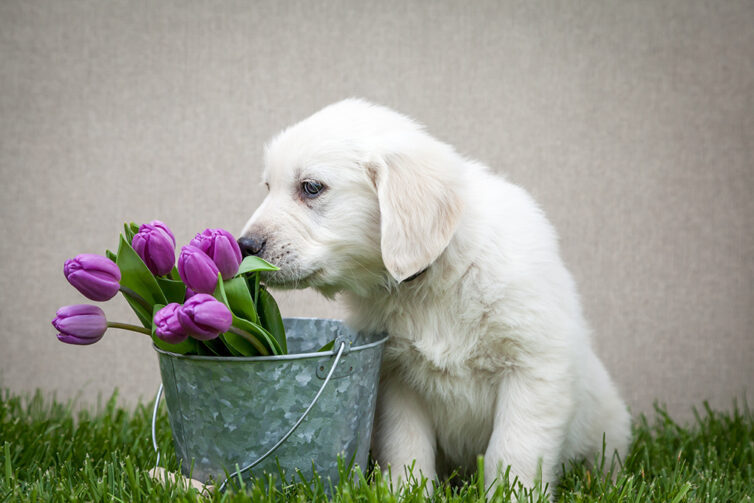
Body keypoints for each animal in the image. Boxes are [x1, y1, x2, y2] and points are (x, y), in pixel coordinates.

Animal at [239, 98, 628, 496]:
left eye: (312, 187)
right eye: (268, 186)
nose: (244, 245)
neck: (435, 278)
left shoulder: (534, 367)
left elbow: (513, 449)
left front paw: (511, 494)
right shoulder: (396, 377)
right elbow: (406, 446)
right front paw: (406, 492)